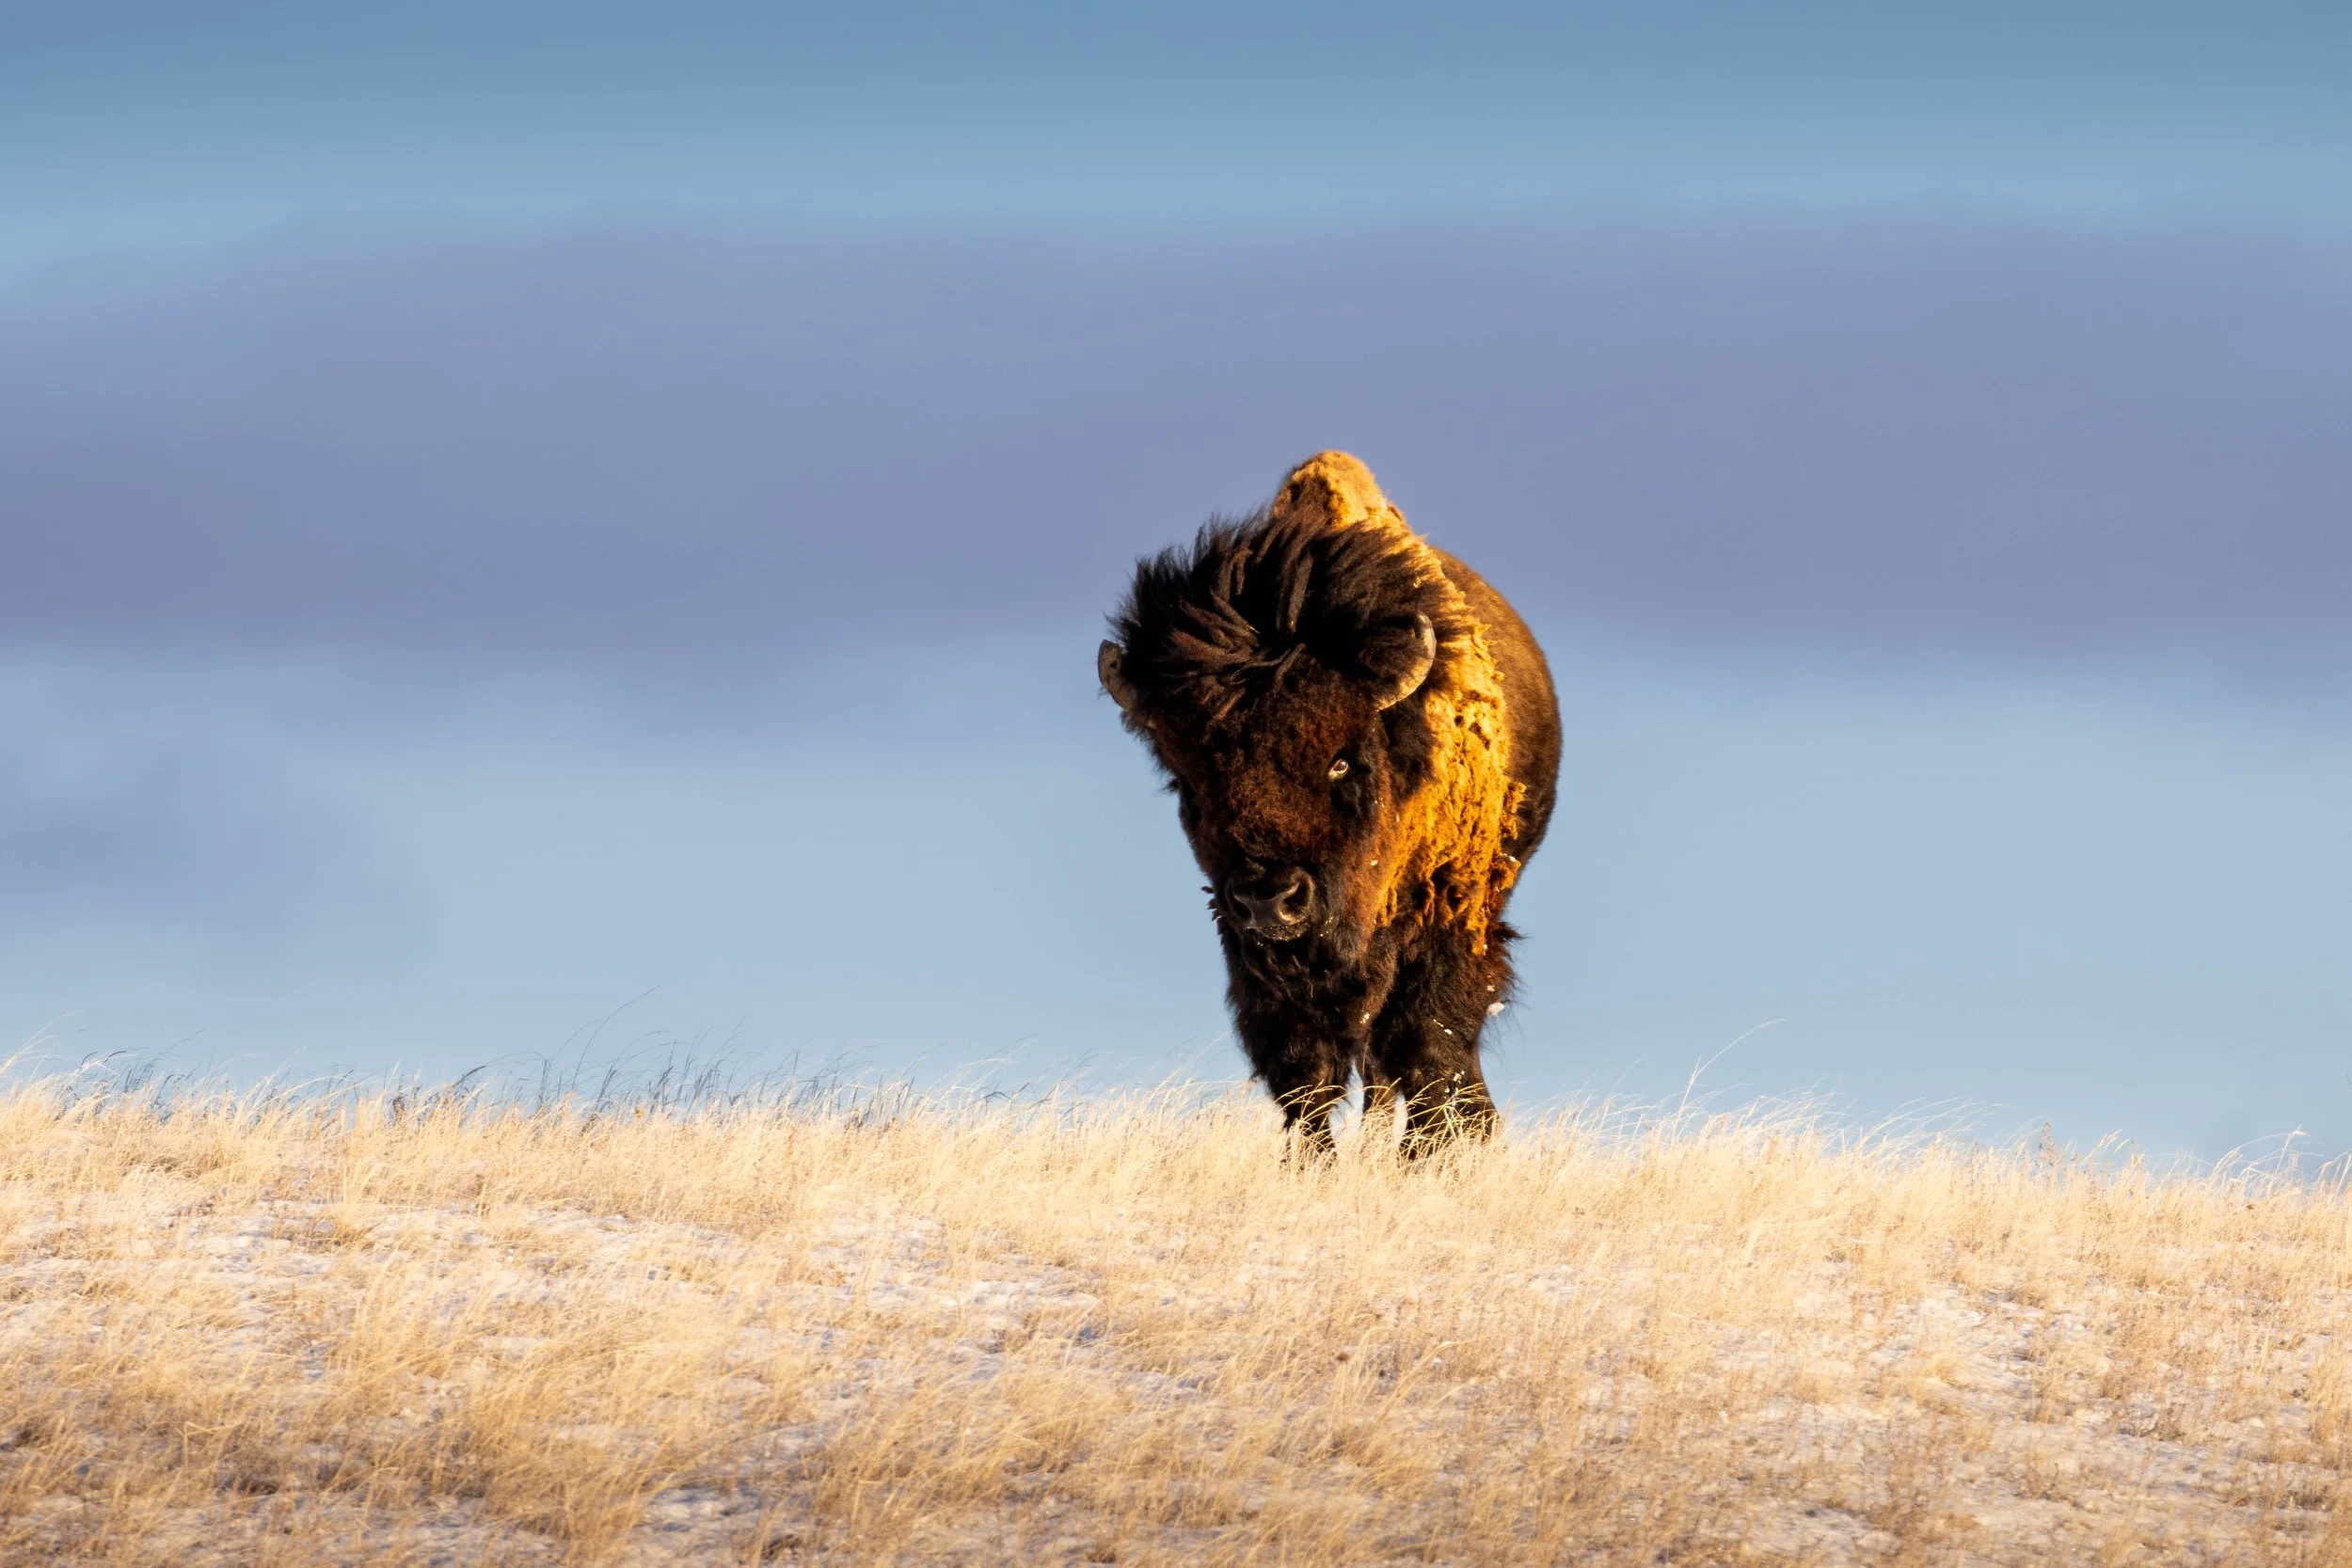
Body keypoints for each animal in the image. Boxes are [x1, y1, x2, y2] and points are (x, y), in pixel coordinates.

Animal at [1099, 452, 1561, 1155]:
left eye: (1342, 759)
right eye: (1191, 781)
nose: (1272, 898)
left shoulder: (1448, 917)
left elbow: (1429, 1048)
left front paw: (1432, 1157)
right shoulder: (1252, 956)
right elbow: (1304, 1072)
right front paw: (1308, 1162)